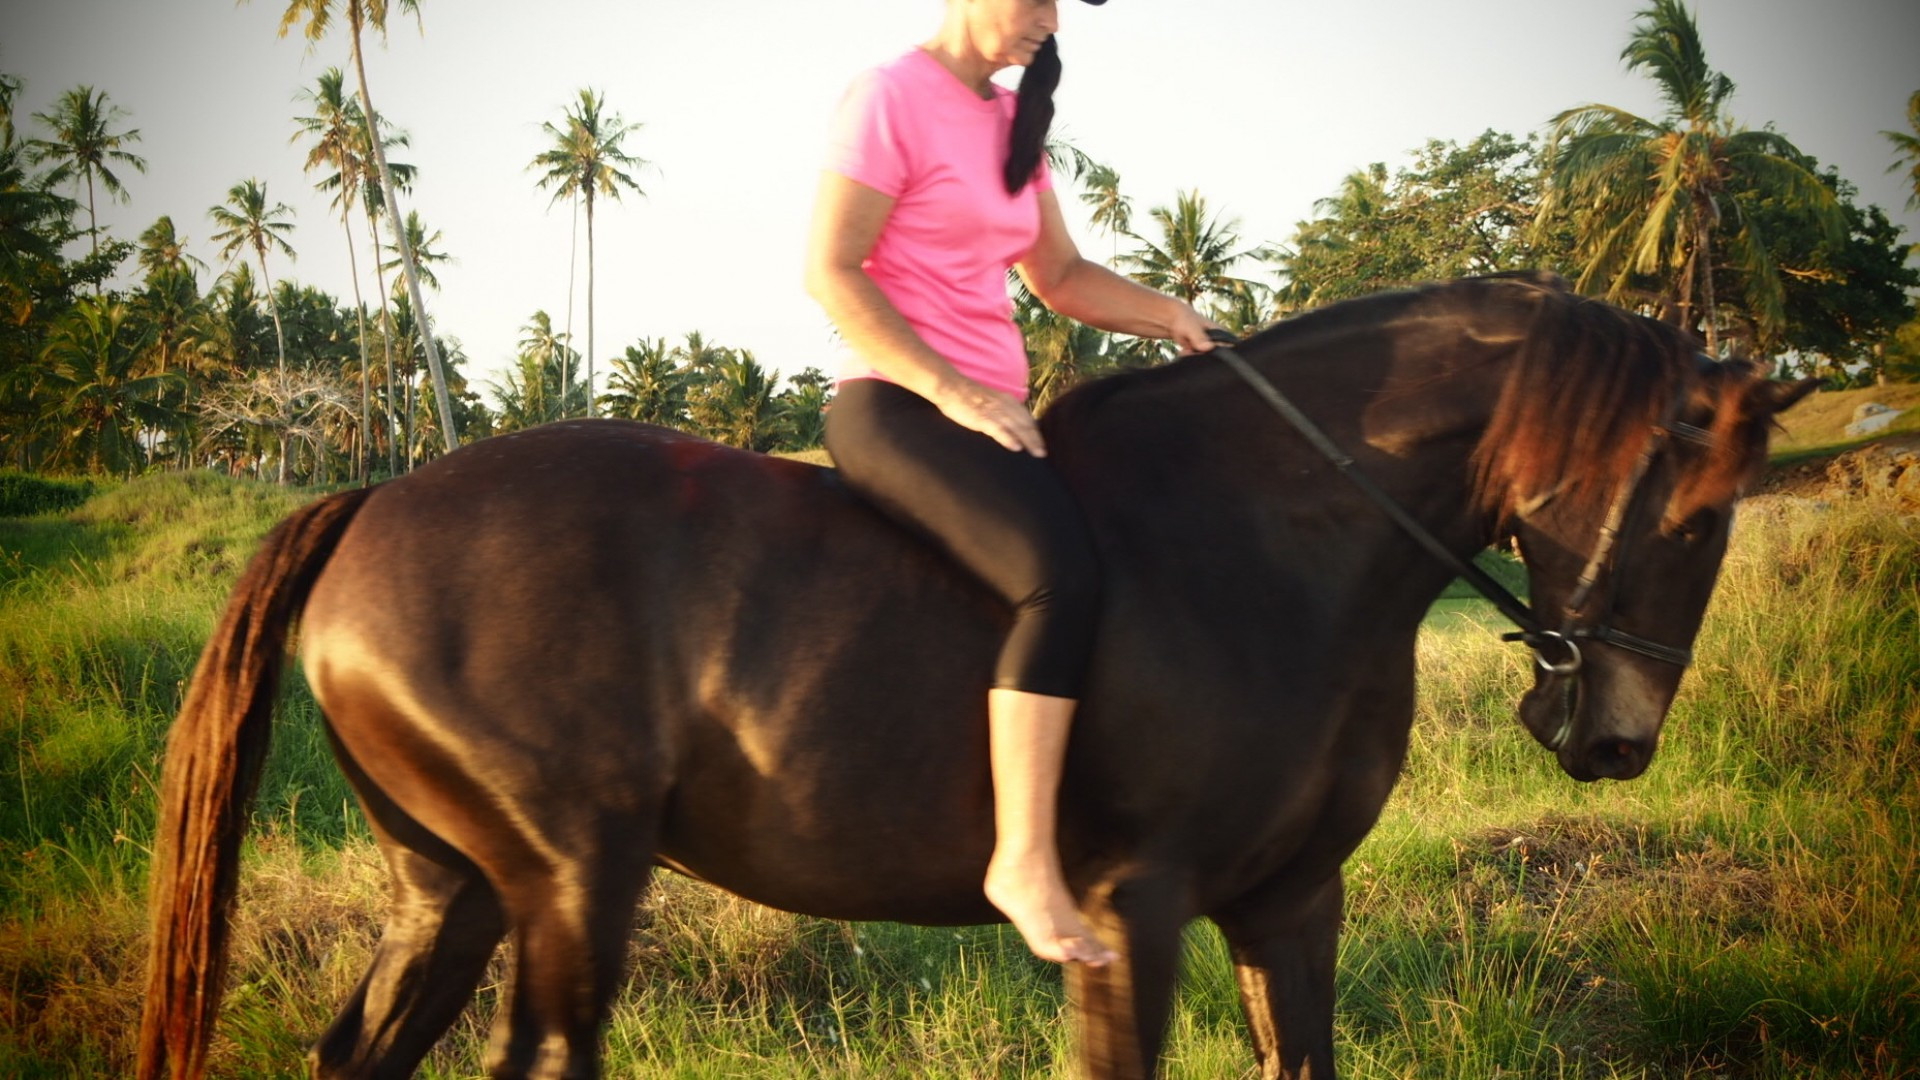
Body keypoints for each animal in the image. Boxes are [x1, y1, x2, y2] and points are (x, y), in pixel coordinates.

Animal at [135, 276, 1812, 1076]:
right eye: (1691, 515)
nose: (1617, 741)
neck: (1271, 536)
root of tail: (374, 504)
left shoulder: (1291, 905)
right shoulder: (1133, 911)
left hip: (458, 889)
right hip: (566, 881)